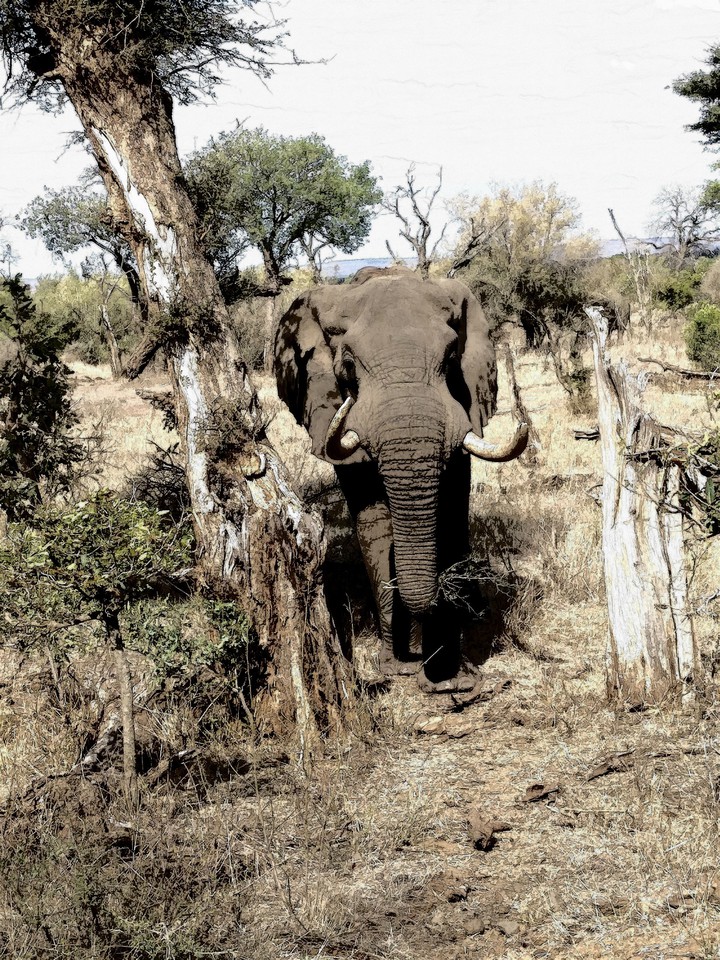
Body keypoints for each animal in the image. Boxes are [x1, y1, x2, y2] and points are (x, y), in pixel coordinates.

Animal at [274, 266, 528, 692]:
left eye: (451, 359)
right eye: (347, 367)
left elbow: (450, 516)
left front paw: (448, 674)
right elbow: (375, 523)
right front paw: (400, 668)